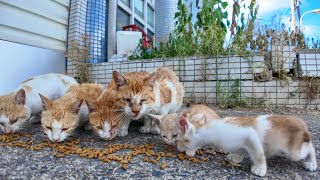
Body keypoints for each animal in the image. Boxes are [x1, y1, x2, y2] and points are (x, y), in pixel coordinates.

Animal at [175, 114, 318, 176]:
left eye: (177, 138)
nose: (176, 147)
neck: (210, 129)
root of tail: (303, 124)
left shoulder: (249, 133)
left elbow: (258, 154)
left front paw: (260, 169)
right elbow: (241, 149)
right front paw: (236, 157)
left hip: (293, 152)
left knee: (309, 148)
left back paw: (312, 163)